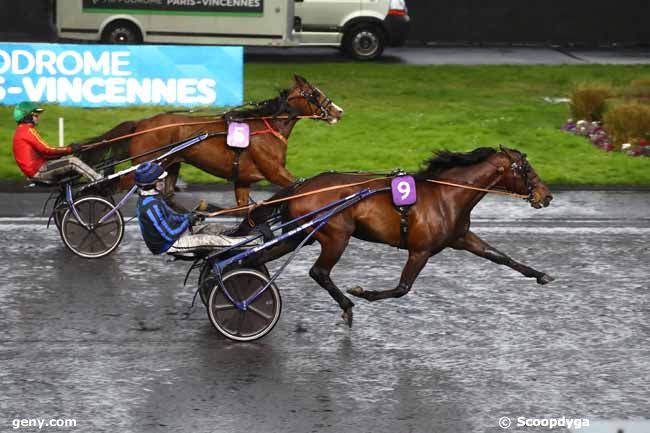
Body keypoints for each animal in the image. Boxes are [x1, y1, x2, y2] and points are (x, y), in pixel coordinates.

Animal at [78, 75, 342, 207]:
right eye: (315, 94)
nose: (338, 111)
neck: (267, 127)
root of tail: (142, 124)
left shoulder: (243, 180)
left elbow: (243, 208)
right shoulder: (275, 171)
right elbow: (299, 185)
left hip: (170, 164)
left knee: (167, 193)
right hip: (146, 165)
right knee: (114, 184)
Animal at [237, 145, 552, 324]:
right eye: (526, 168)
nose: (546, 195)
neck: (446, 196)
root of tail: (303, 186)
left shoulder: (461, 238)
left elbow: (500, 257)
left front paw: (541, 275)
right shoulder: (420, 250)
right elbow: (402, 288)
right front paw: (362, 292)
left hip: (298, 235)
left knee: (256, 257)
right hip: (335, 236)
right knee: (319, 272)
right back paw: (346, 305)